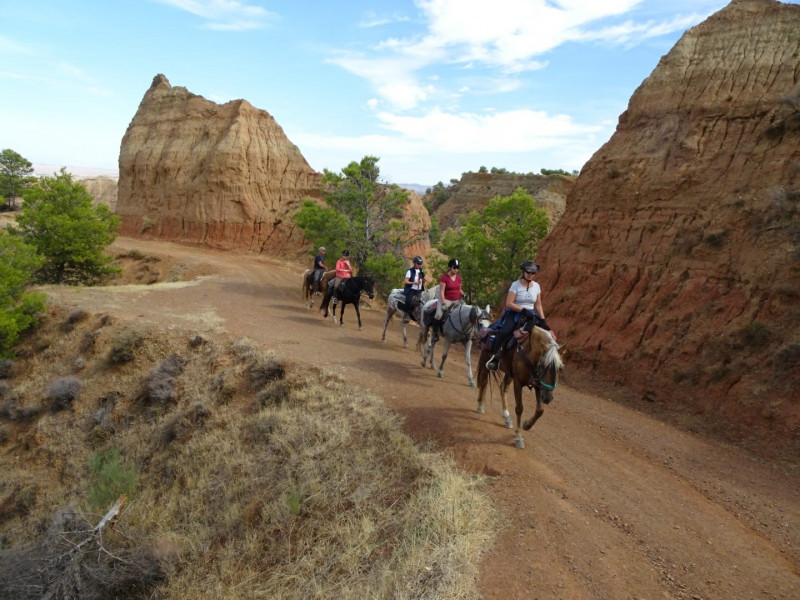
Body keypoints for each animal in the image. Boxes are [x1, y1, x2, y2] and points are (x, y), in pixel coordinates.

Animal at [476, 318, 564, 450]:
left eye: (560, 369)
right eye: (543, 366)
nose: (548, 398)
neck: (529, 351)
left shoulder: (538, 385)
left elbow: (540, 410)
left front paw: (527, 425)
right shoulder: (518, 382)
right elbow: (519, 408)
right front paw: (518, 437)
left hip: (509, 373)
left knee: (503, 388)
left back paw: (507, 417)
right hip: (485, 360)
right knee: (483, 382)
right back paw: (480, 406)